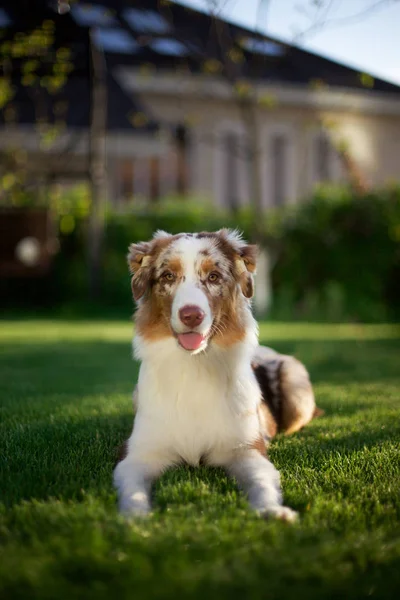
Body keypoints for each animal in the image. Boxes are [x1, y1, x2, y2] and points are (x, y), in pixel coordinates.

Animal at [114, 229, 320, 520]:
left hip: (295, 382)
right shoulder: (138, 453)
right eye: (168, 276)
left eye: (213, 277)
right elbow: (132, 488)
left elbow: (262, 480)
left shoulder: (246, 449)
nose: (191, 315)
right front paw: (135, 517)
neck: (193, 367)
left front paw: (272, 510)